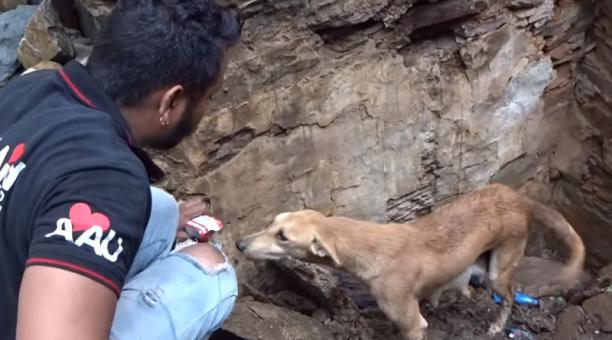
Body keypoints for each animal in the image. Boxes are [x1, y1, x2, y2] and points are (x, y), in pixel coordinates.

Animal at [234, 185, 584, 338]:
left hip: (499, 270)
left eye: (283, 237)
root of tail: (520, 197)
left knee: (509, 297)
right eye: (271, 222)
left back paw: (497, 325)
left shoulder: (413, 324)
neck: (369, 248)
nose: (238, 244)